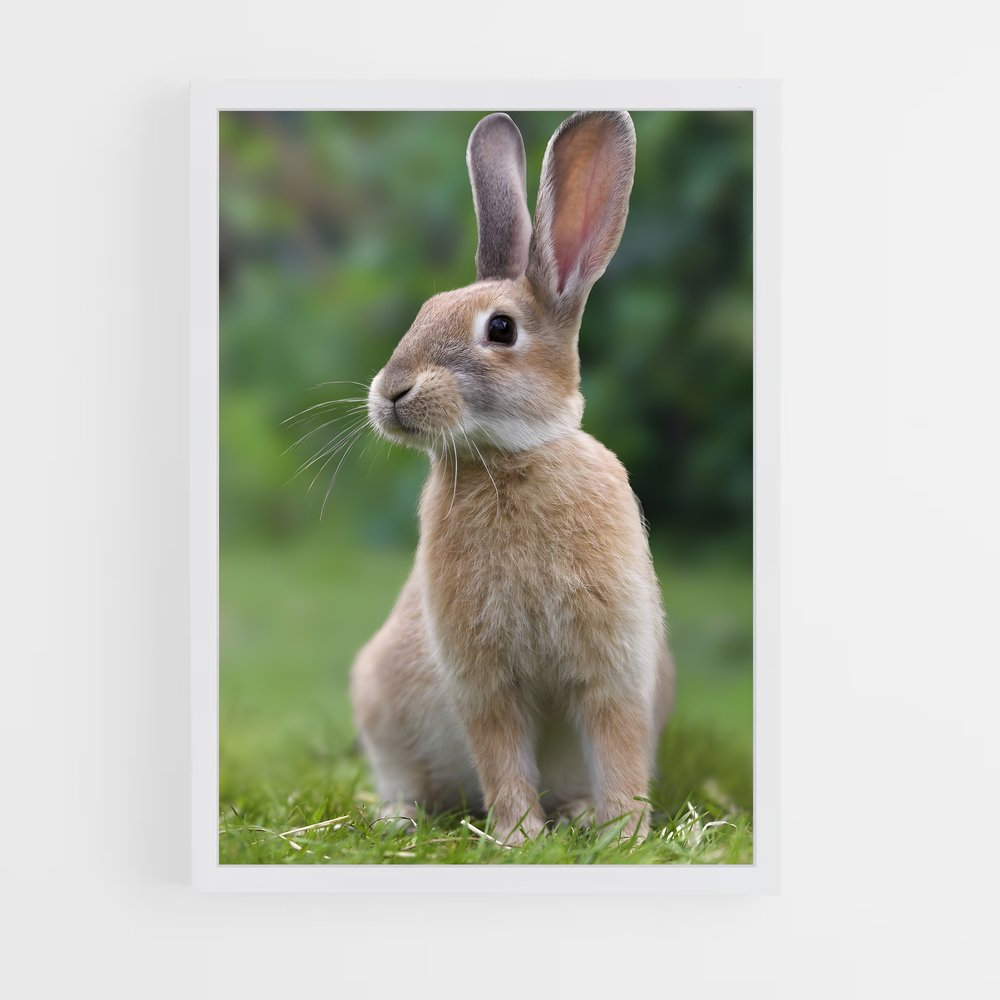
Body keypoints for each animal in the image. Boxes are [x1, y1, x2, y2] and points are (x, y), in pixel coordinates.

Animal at [350, 110, 675, 846]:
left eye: (501, 329)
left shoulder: (613, 665)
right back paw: (399, 818)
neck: (507, 460)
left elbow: (617, 744)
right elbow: (500, 751)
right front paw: (519, 837)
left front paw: (624, 833)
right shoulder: (483, 677)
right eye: (422, 312)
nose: (391, 392)